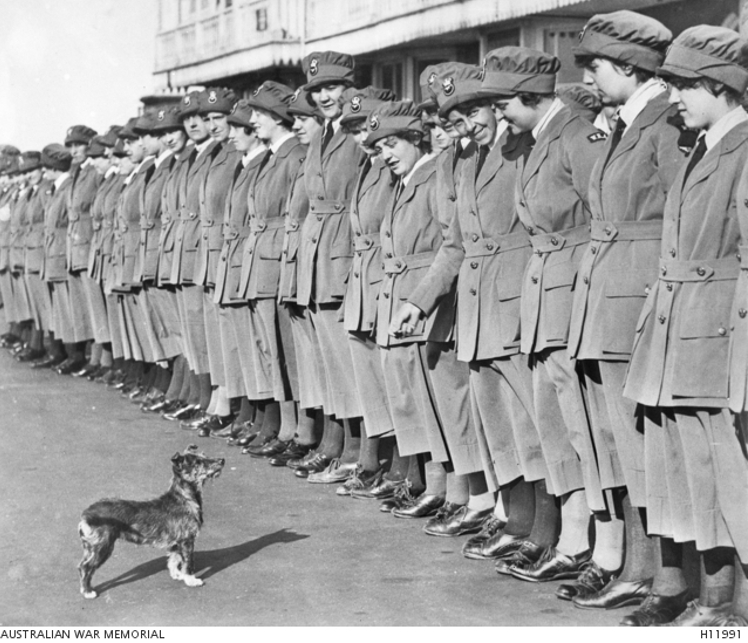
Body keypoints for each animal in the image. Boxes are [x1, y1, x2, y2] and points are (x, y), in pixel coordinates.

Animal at [79, 446, 225, 600]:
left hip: (91, 548)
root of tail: (85, 515)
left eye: (204, 455)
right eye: (198, 462)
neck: (185, 498)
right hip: (102, 547)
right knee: (86, 567)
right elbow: (188, 563)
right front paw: (191, 580)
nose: (222, 460)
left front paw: (177, 575)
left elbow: (174, 560)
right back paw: (88, 591)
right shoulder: (187, 540)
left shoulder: (176, 543)